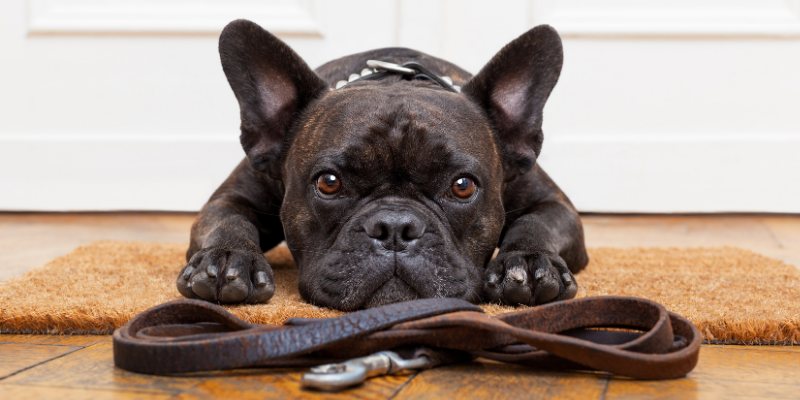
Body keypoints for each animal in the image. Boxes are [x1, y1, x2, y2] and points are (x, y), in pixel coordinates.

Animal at [175, 18, 588, 310]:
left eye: (463, 186)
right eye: (328, 182)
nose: (395, 227)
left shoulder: (555, 204)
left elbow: (537, 222)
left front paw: (530, 262)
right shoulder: (231, 198)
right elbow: (229, 220)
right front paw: (229, 258)